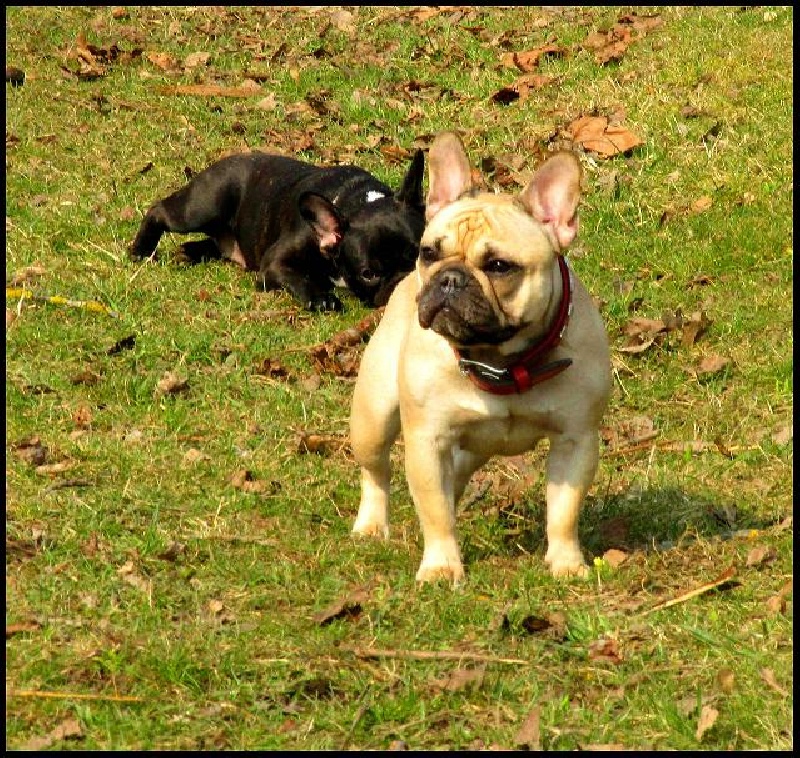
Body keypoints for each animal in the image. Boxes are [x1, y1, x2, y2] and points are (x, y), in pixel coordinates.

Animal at [128, 150, 424, 310]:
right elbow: (297, 277)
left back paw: (188, 252)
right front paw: (321, 298)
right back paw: (140, 250)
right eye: (368, 274)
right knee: (160, 211)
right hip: (203, 207)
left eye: (421, 254)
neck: (358, 201)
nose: (403, 281)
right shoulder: (274, 263)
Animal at [352, 134, 612, 588]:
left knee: (453, 478)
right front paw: (442, 567)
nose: (449, 279)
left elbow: (564, 512)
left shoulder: (576, 440)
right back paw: (371, 525)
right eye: (428, 252)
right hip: (374, 418)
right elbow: (435, 513)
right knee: (377, 472)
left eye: (499, 266)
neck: (501, 360)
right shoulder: (428, 440)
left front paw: (566, 562)